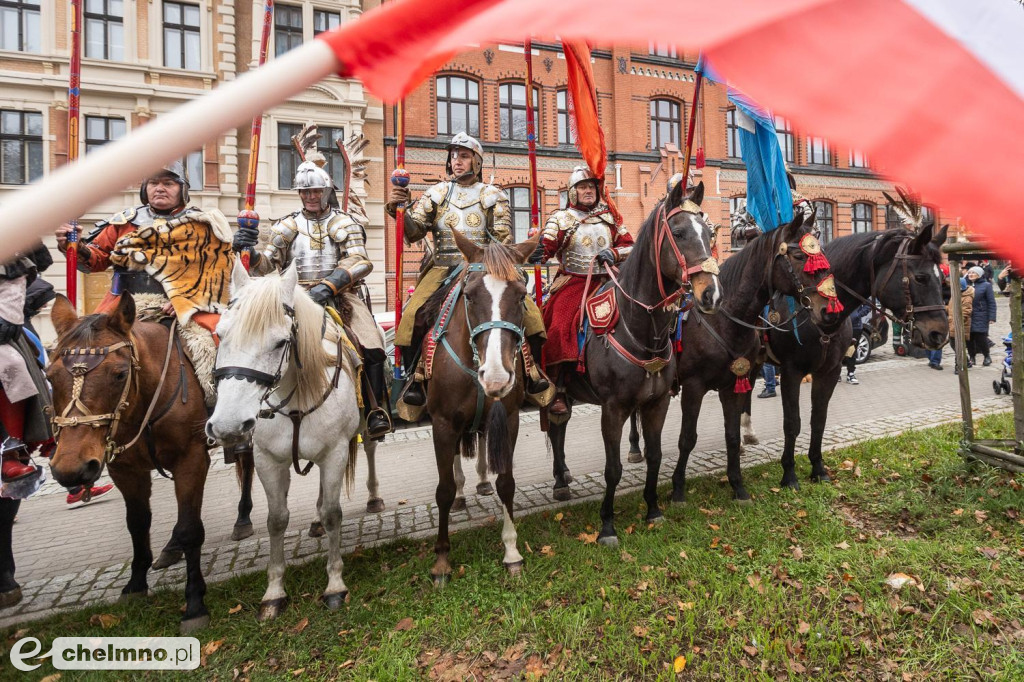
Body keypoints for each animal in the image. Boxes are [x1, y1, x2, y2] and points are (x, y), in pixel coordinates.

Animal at [48, 292, 209, 630]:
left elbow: (190, 528)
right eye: (50, 376)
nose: (71, 469)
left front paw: (194, 603)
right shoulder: (124, 470)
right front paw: (135, 585)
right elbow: (137, 524)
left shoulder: (191, 459)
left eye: (119, 374)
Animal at [207, 259, 364, 614]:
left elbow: (333, 513)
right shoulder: (267, 460)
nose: (227, 426)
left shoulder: (335, 452)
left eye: (280, 342)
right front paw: (274, 591)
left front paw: (335, 585)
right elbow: (277, 520)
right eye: (219, 335)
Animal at [421, 231, 540, 581]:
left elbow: (507, 483)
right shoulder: (442, 423)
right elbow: (444, 489)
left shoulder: (509, 418)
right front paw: (442, 559)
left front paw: (512, 551)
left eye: (521, 294)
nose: (497, 376)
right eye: (470, 296)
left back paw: (483, 481)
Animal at [548, 178, 724, 544]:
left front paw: (653, 509)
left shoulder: (657, 403)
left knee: (559, 427)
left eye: (709, 233)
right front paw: (607, 526)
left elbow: (655, 457)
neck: (641, 329)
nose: (711, 294)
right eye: (680, 232)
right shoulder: (613, 408)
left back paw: (562, 477)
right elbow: (612, 469)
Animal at [745, 222, 950, 483]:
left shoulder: (829, 372)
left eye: (942, 278)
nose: (939, 334)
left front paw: (818, 469)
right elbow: (792, 423)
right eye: (921, 277)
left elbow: (818, 420)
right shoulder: (792, 372)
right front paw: (789, 474)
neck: (817, 319)